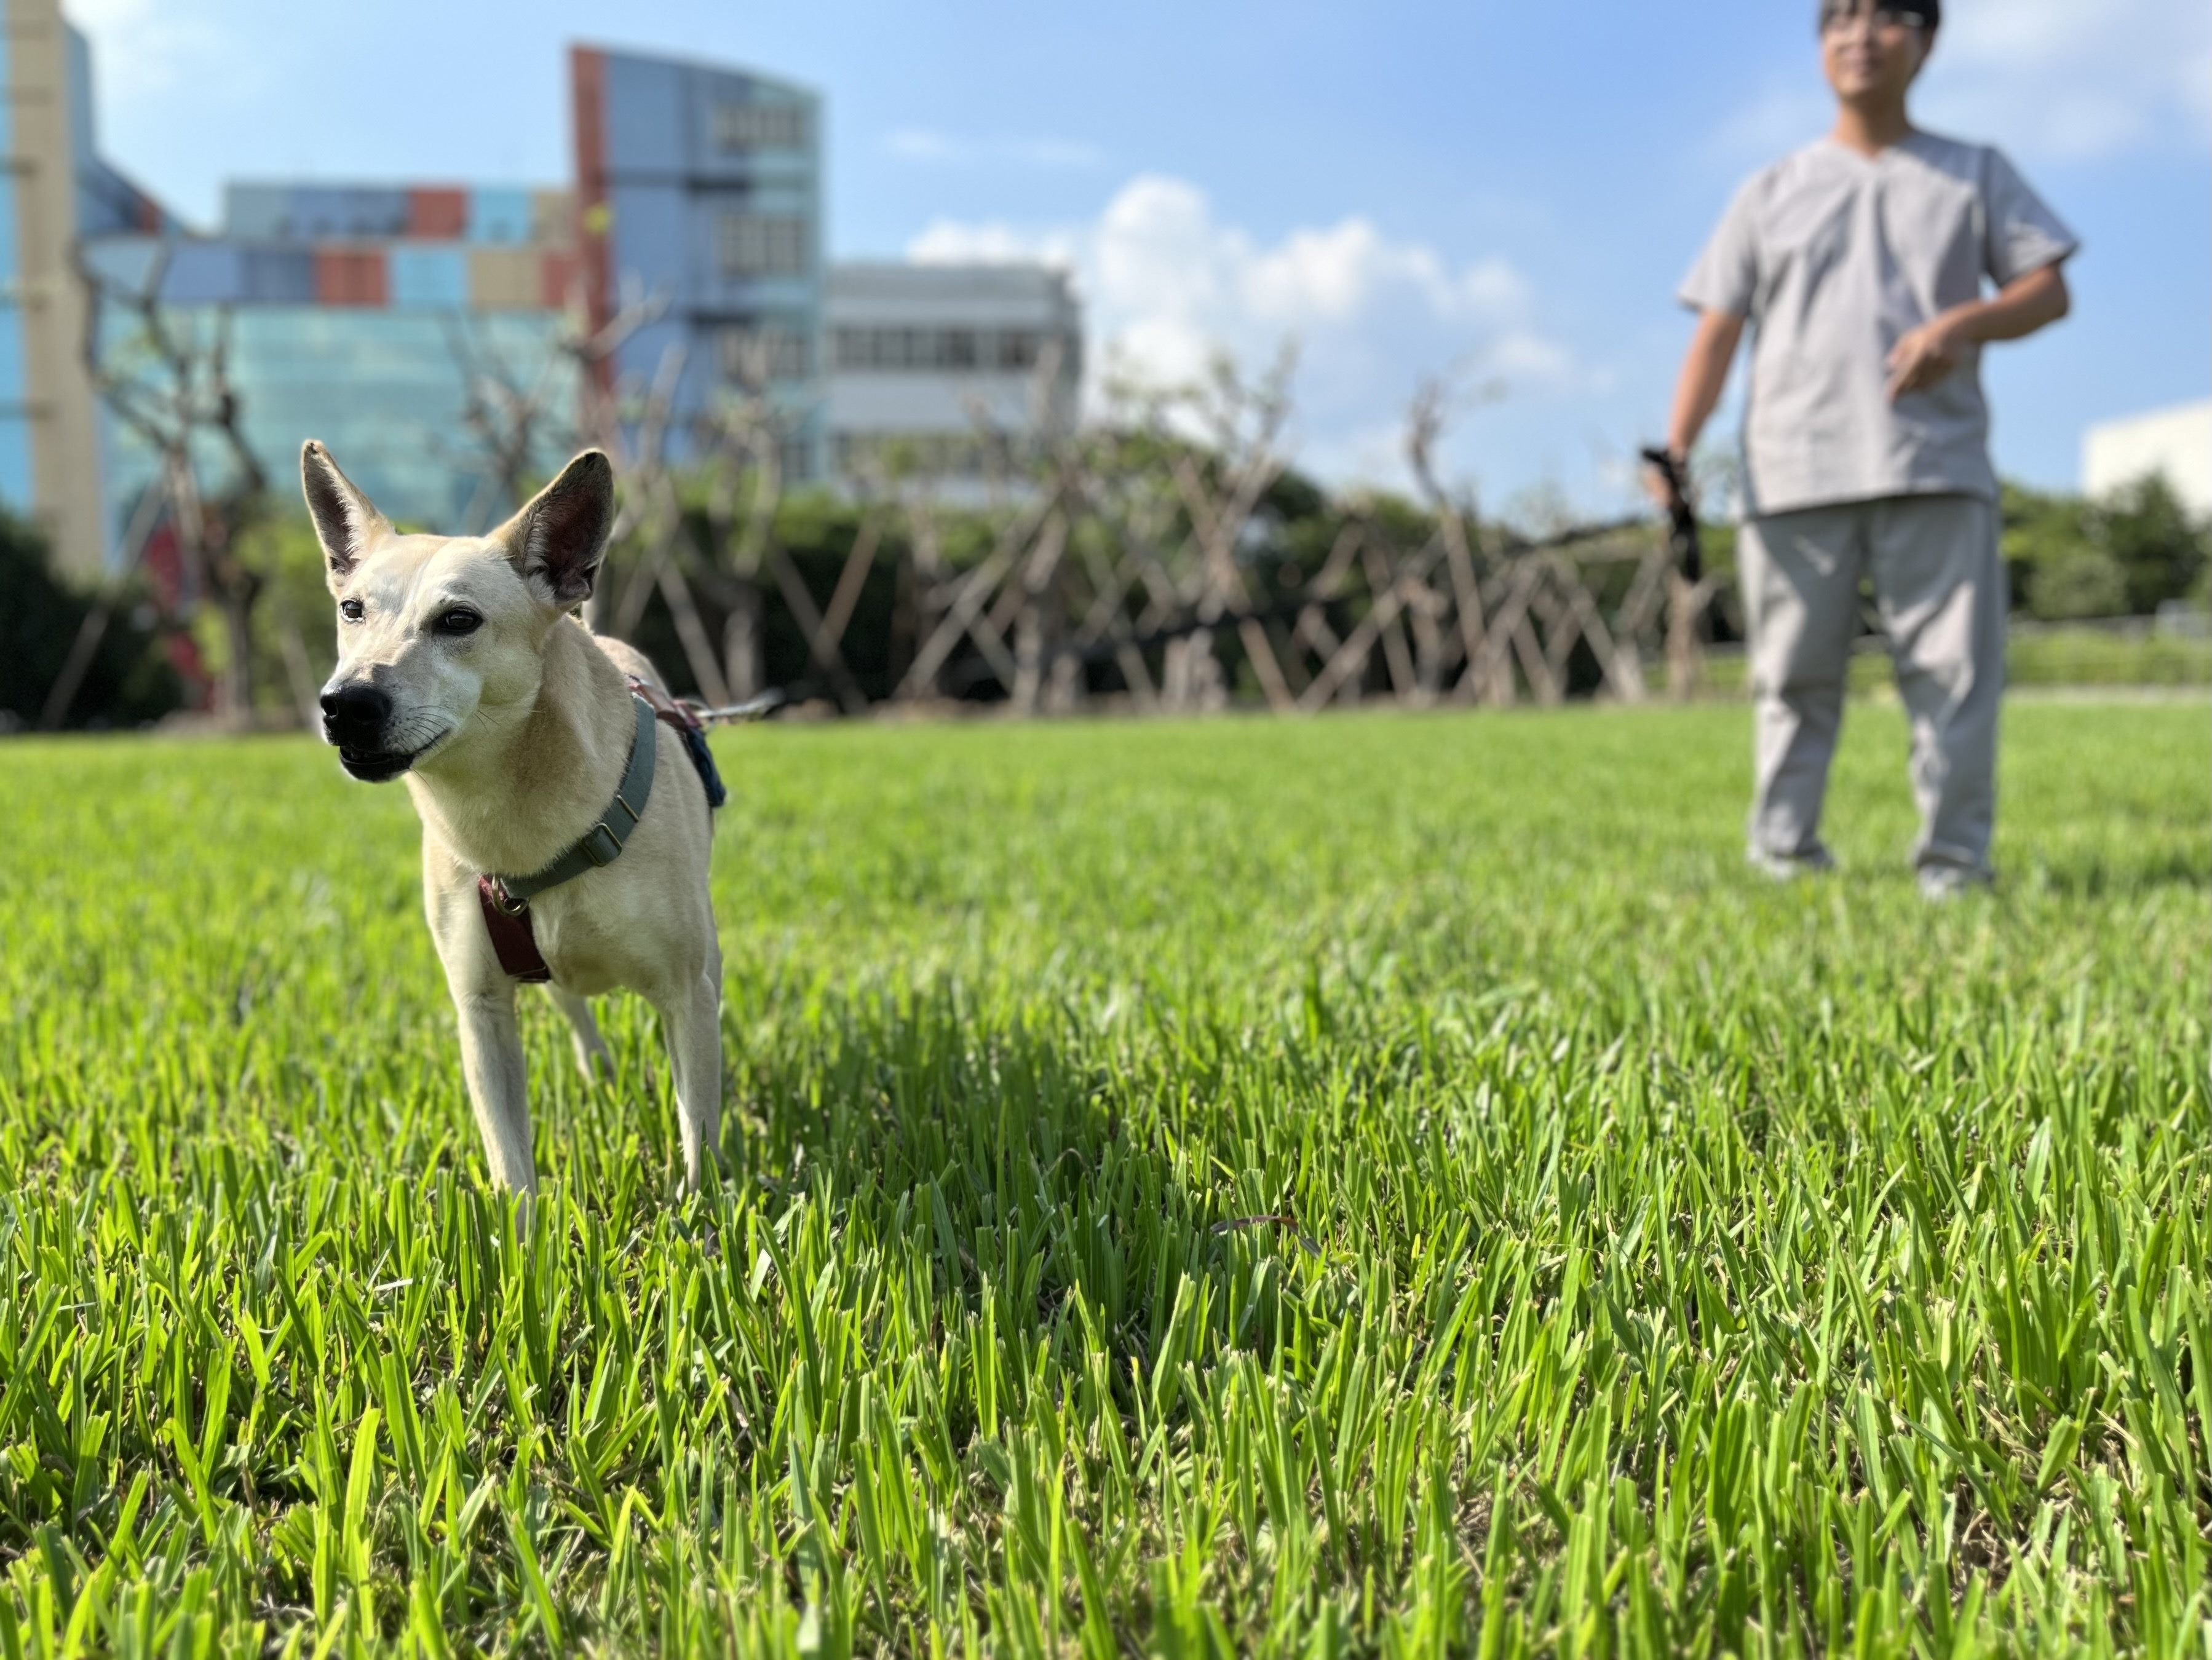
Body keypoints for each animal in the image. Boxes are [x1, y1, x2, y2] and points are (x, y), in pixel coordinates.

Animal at [305, 442, 725, 1193]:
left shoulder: (687, 992)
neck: (517, 819)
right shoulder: (482, 1009)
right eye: (352, 610)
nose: (345, 703)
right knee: (573, 1008)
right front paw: (518, 1225)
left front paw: (702, 1216)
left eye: (458, 621)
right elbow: (511, 1164)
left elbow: (696, 1137)